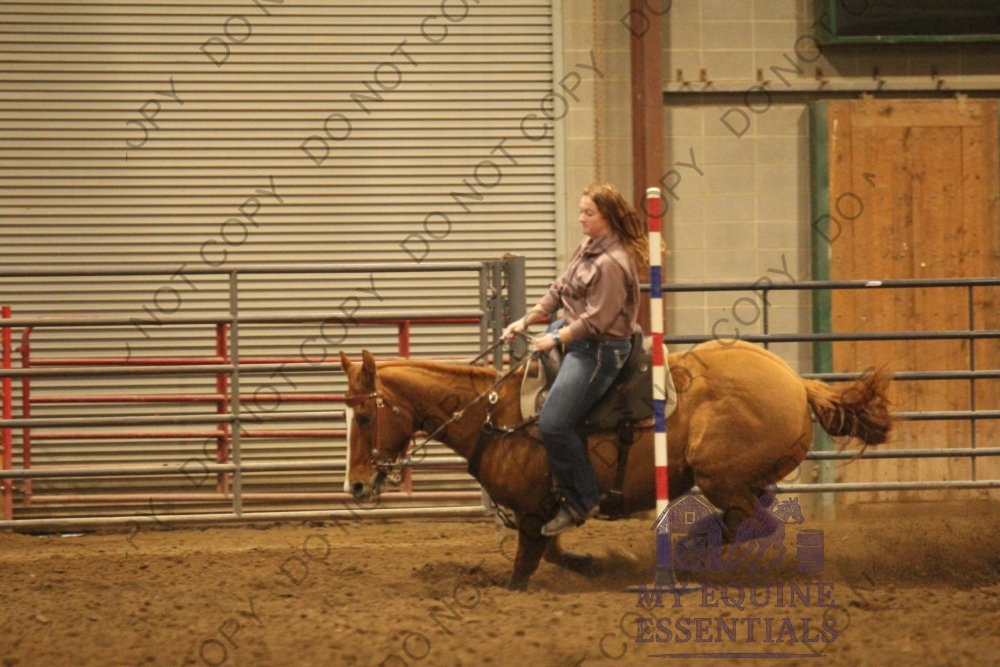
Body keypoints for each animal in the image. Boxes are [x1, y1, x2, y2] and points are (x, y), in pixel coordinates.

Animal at [338, 339, 892, 591]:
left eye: (363, 415)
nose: (357, 487)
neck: (494, 417)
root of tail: (799, 384)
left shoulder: (532, 516)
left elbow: (523, 570)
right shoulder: (545, 514)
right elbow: (557, 555)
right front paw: (596, 565)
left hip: (721, 478)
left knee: (752, 523)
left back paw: (686, 553)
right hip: (741, 480)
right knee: (754, 518)